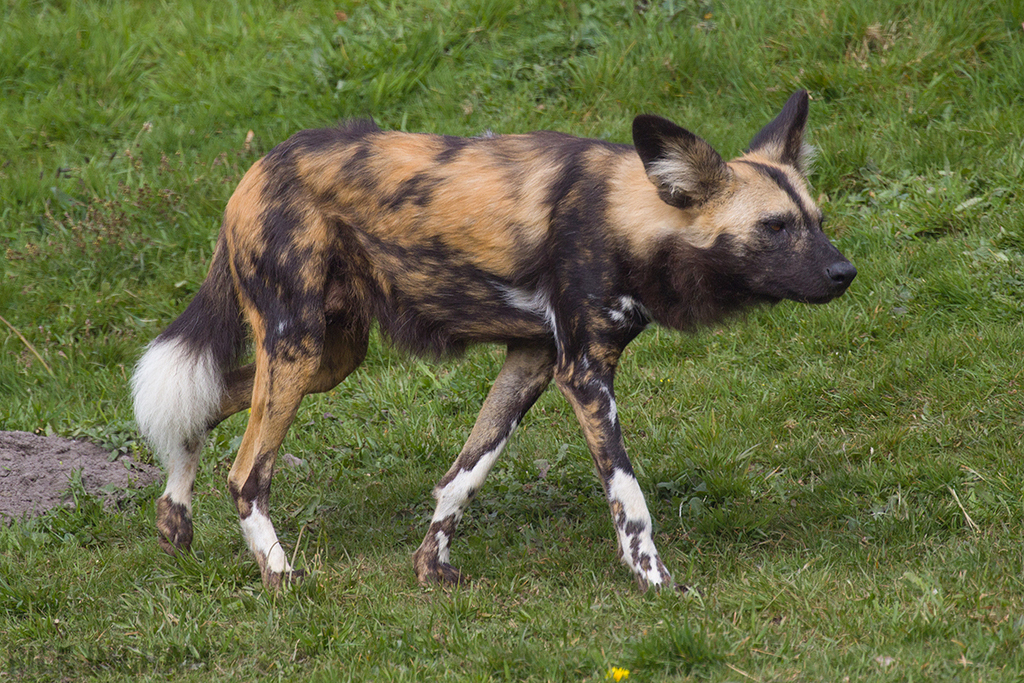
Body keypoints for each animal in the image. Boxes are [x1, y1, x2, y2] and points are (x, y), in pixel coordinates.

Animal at [136, 90, 856, 589]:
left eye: (818, 221)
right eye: (774, 227)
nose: (844, 272)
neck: (627, 217)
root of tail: (258, 167)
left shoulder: (534, 360)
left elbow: (464, 474)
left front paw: (431, 566)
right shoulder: (585, 374)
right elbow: (629, 496)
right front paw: (655, 580)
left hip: (328, 357)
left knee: (201, 405)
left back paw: (175, 523)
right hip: (298, 347)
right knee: (246, 473)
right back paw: (281, 575)